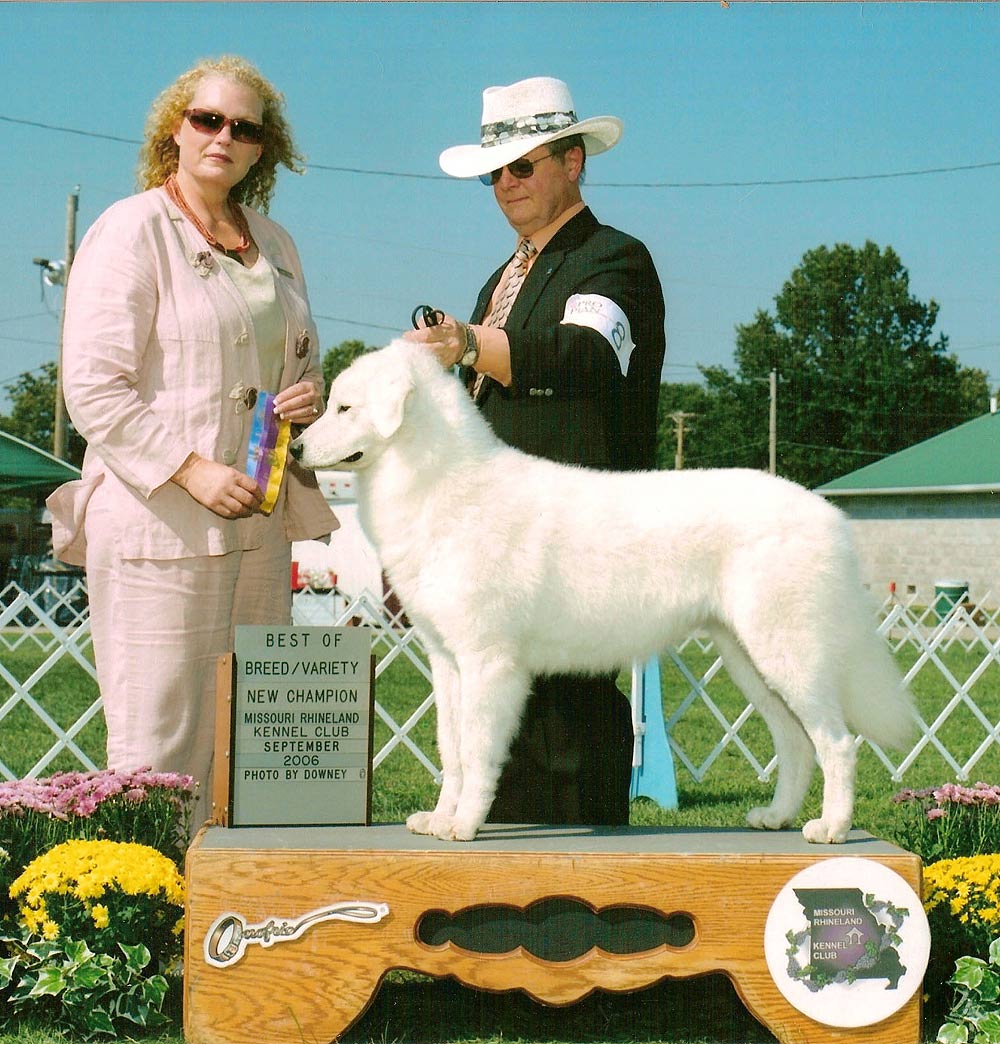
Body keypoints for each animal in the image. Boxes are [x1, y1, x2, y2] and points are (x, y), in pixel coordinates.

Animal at [292, 338, 914, 843]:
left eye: (344, 408)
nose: (294, 449)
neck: (438, 481)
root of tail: (829, 517)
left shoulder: (489, 662)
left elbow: (477, 750)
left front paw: (464, 827)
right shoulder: (447, 661)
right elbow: (452, 748)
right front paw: (440, 819)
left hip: (788, 652)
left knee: (837, 742)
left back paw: (831, 828)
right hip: (748, 659)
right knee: (796, 742)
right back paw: (776, 817)